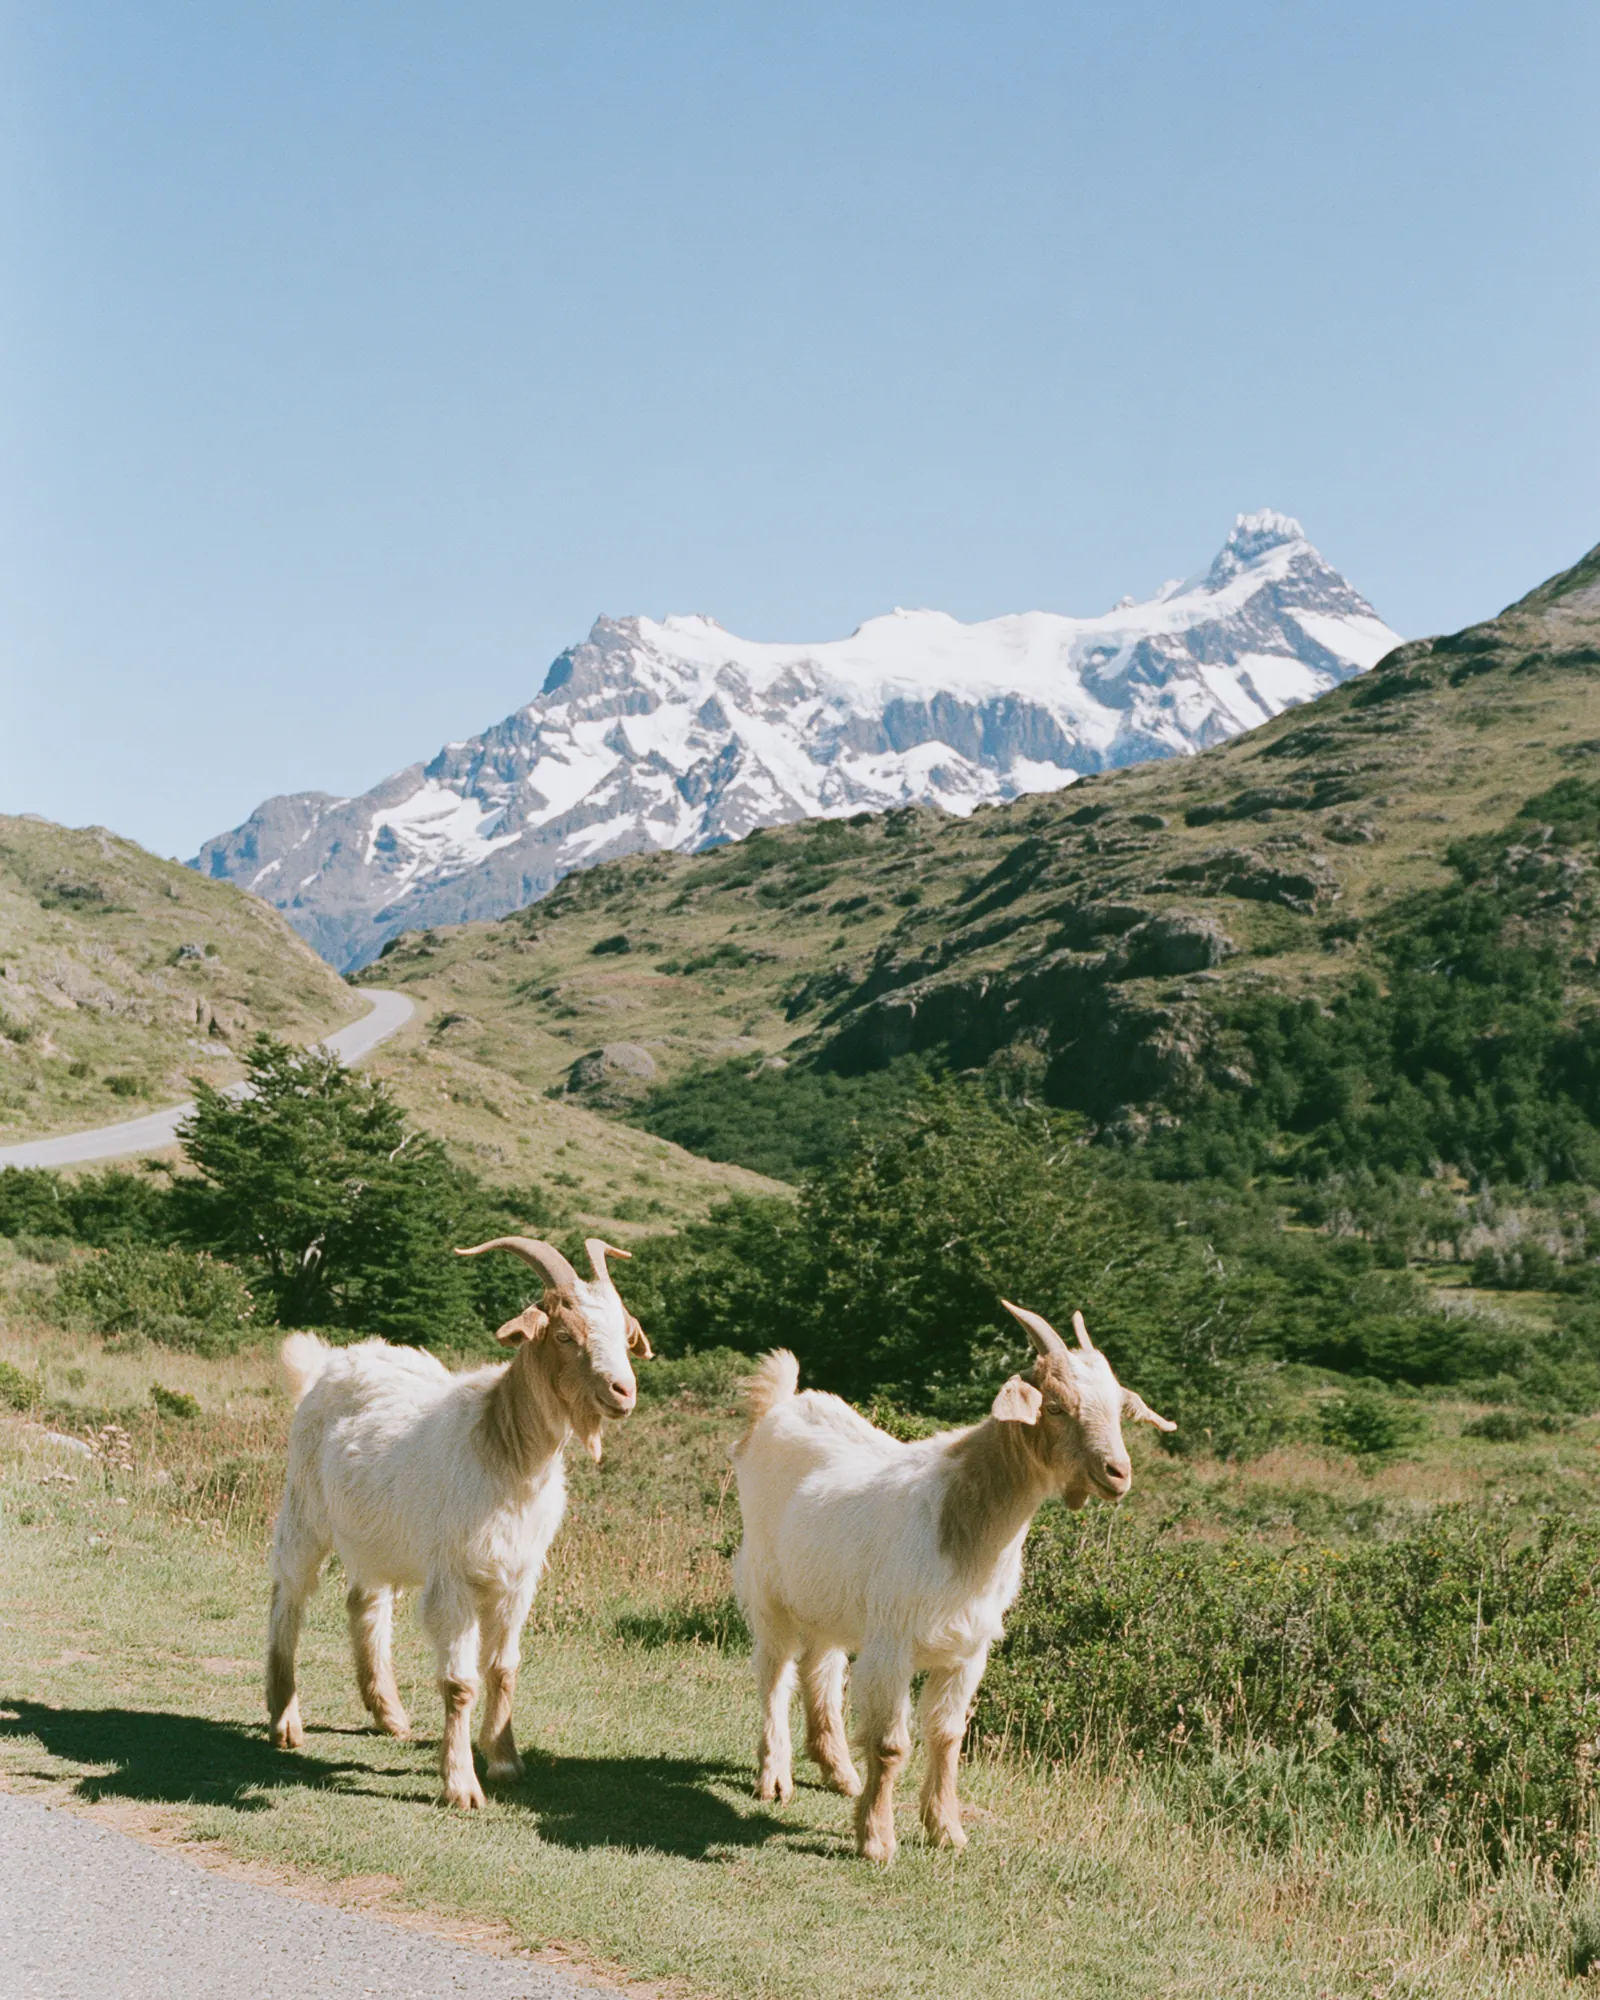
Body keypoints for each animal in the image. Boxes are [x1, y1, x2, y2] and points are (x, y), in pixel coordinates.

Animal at [264, 1235, 651, 1808]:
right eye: (565, 1334)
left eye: (625, 1334)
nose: (623, 1391)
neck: (505, 1449)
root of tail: (334, 1361)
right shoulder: (455, 1577)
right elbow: (460, 1683)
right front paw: (461, 1783)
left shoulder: (517, 1578)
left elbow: (504, 1669)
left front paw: (506, 1760)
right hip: (306, 1509)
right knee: (288, 1593)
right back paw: (285, 1720)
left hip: (378, 1532)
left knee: (365, 1601)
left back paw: (389, 1713)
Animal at [730, 1302, 1174, 1861]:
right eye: (1055, 1406)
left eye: (1118, 1409)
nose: (1117, 1472)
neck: (963, 1525)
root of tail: (779, 1408)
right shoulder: (894, 1642)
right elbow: (891, 1745)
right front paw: (877, 1839)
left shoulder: (968, 1650)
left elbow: (947, 1736)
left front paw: (946, 1829)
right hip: (768, 1586)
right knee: (774, 1671)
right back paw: (775, 1777)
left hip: (829, 1595)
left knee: (822, 1665)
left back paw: (840, 1771)